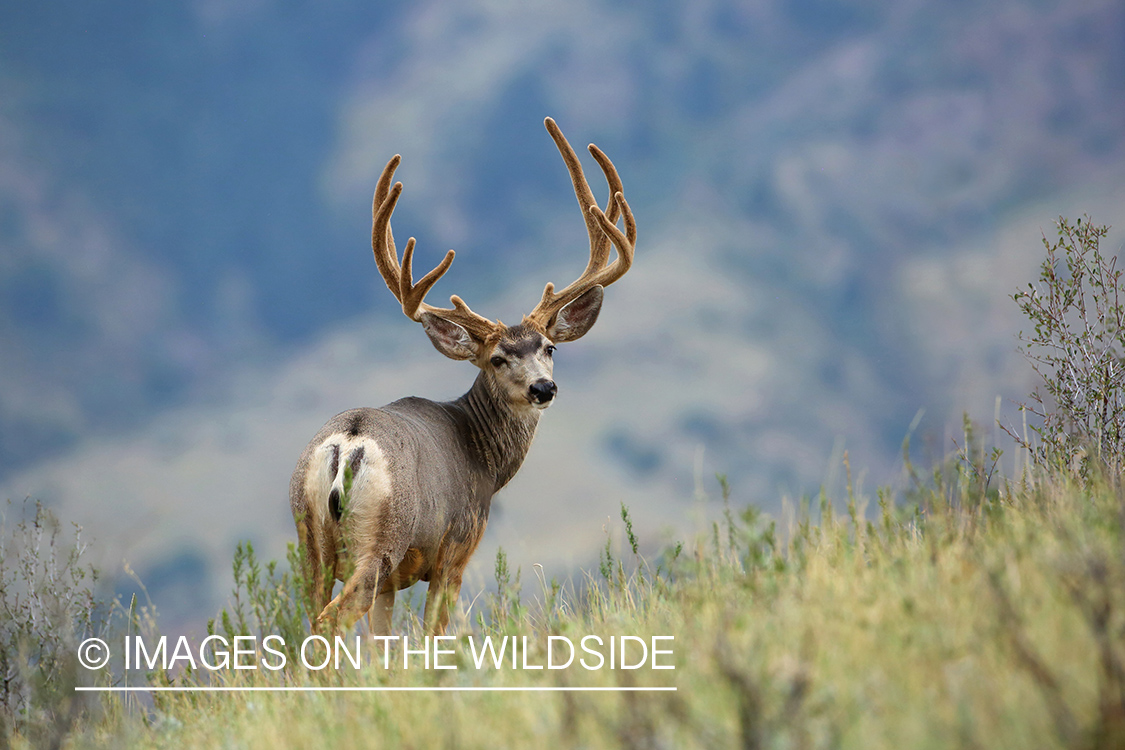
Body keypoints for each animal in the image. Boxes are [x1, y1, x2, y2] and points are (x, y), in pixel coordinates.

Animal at [290, 117, 639, 634]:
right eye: (496, 358)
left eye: (549, 348)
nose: (543, 387)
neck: (485, 462)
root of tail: (347, 443)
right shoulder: (454, 552)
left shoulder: (394, 583)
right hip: (382, 540)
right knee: (329, 620)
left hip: (309, 539)